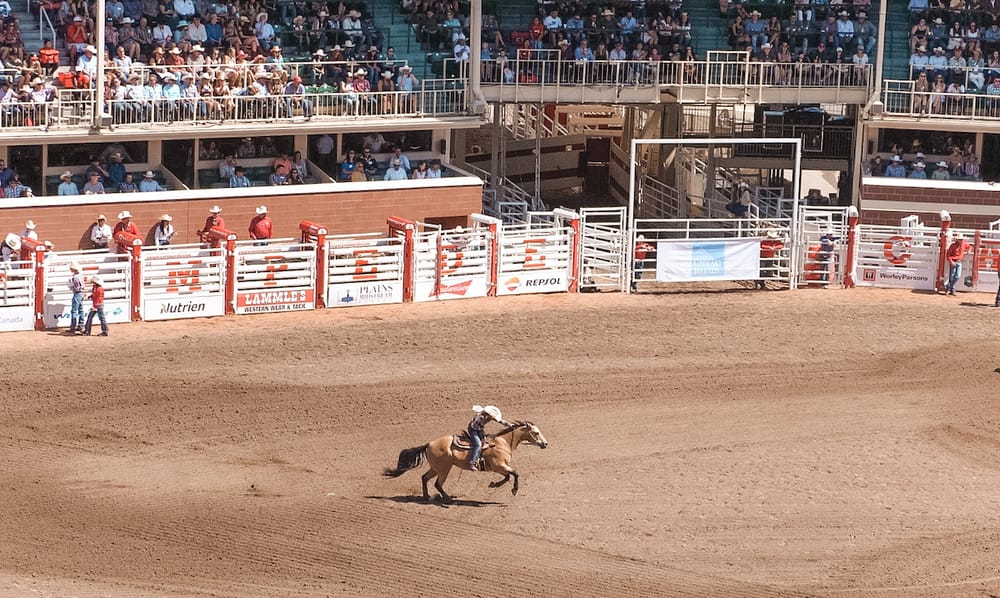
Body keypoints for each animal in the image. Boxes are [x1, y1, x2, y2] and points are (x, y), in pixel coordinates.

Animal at [382, 422, 552, 506]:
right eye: (536, 432)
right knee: (437, 484)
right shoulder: (499, 466)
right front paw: (514, 490)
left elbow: (508, 477)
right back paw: (448, 499)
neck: (502, 442)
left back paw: (426, 496)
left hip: (436, 468)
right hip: (444, 469)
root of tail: (429, 444)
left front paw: (493, 484)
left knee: (424, 478)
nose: (545, 444)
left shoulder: (500, 468)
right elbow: (515, 473)